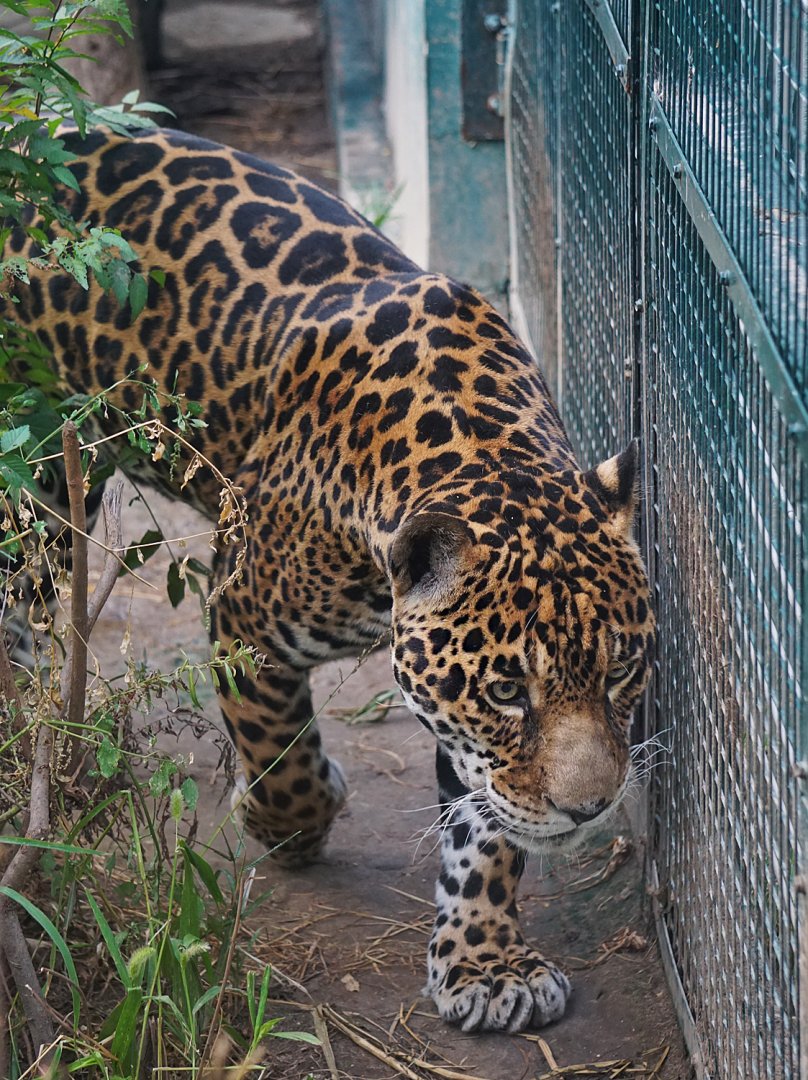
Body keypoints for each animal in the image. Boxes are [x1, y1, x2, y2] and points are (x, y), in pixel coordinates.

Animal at [2, 126, 656, 1034]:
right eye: (506, 693)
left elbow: (483, 829)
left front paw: (487, 964)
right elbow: (282, 759)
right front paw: (283, 822)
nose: (590, 808)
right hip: (38, 485)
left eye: (623, 669)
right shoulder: (241, 615)